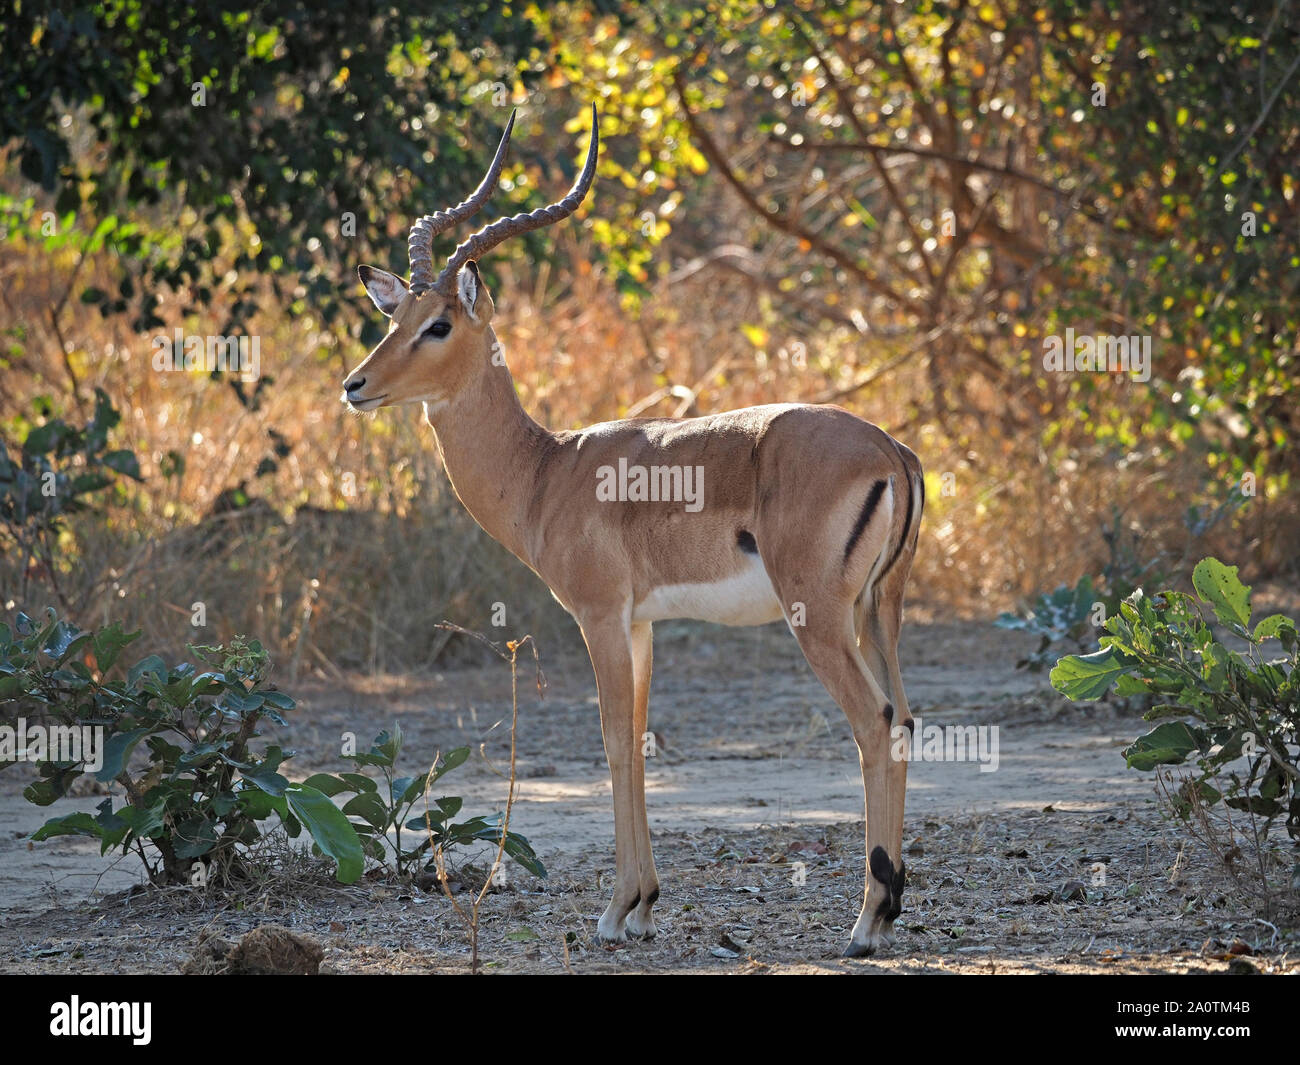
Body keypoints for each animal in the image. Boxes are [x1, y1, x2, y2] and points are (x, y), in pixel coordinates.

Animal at [341, 106, 924, 956]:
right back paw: (889, 906)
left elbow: (615, 739)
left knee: (874, 724)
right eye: (395, 316)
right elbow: (643, 739)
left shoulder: (600, 615)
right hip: (878, 612)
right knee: (907, 719)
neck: (545, 469)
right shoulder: (642, 623)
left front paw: (618, 908)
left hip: (817, 617)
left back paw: (864, 924)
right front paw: (646, 903)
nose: (355, 384)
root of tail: (890, 449)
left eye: (440, 322)